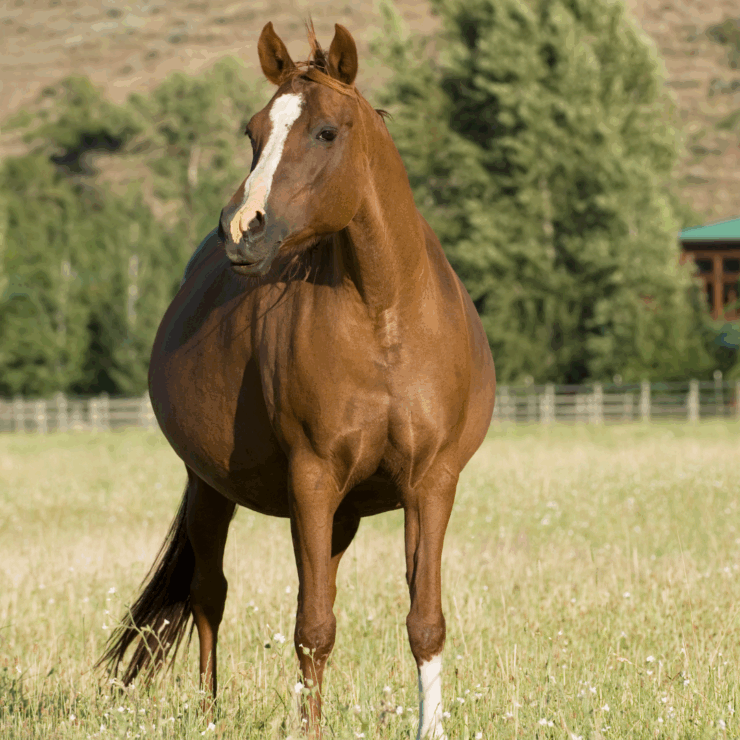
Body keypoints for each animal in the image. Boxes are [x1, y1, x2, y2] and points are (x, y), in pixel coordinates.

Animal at [100, 21, 495, 740]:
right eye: (253, 131)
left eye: (326, 132)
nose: (240, 229)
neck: (385, 316)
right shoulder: (311, 476)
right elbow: (313, 628)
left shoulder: (431, 483)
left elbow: (423, 622)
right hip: (211, 487)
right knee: (210, 594)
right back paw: (210, 714)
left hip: (340, 514)